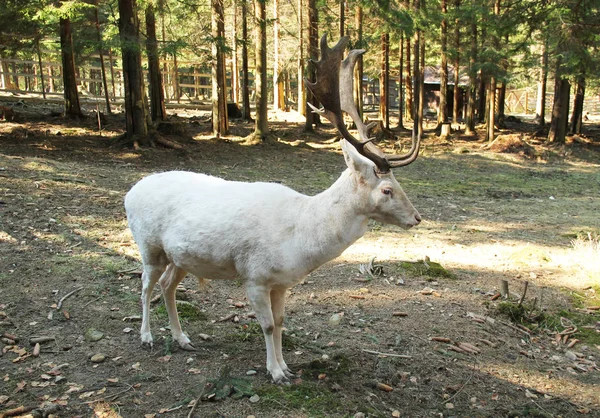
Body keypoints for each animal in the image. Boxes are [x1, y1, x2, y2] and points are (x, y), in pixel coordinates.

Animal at [124, 37, 420, 384]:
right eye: (387, 189)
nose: (416, 217)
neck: (300, 240)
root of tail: (130, 193)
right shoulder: (255, 276)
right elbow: (265, 325)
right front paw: (275, 373)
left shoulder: (281, 283)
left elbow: (280, 323)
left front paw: (286, 366)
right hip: (149, 246)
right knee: (146, 285)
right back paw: (146, 337)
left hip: (181, 257)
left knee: (168, 286)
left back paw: (182, 338)